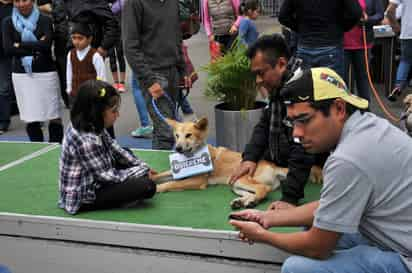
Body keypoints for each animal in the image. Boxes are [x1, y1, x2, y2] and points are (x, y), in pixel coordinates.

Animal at [151, 117, 322, 208]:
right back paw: (243, 202)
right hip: (235, 184)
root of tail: (273, 165)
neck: (191, 156)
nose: (178, 148)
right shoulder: (175, 173)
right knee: (256, 191)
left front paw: (158, 188)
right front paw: (150, 177)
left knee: (263, 189)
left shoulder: (197, 181)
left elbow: (170, 184)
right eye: (177, 135)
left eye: (188, 135)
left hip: (241, 179)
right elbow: (162, 175)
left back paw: (252, 201)